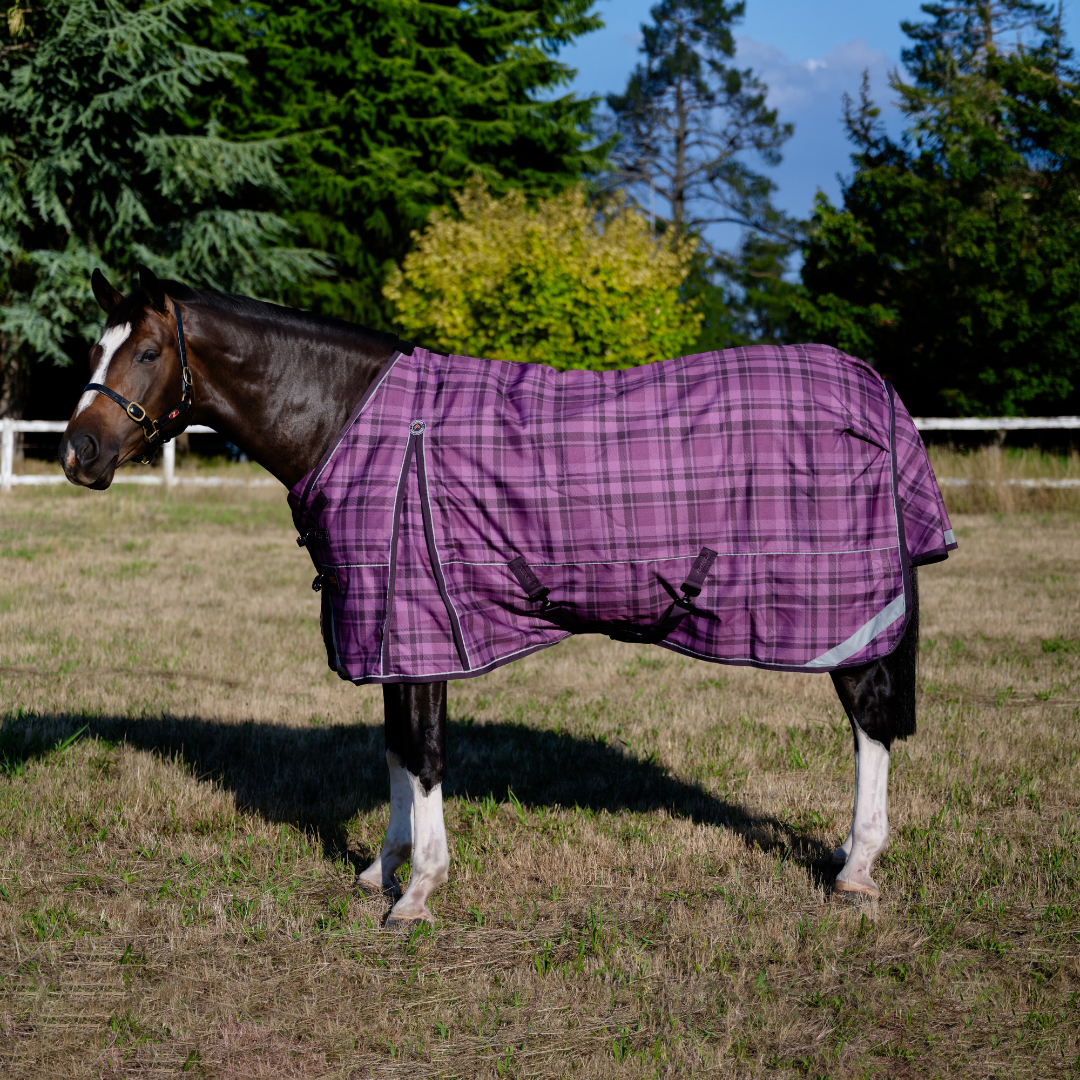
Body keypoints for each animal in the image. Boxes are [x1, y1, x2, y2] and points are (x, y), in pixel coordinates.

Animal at [60, 265, 947, 924]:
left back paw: (856, 868)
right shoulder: (391, 627)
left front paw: (419, 889)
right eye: (96, 348)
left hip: (842, 614)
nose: (78, 452)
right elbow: (394, 749)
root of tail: (875, 392)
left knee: (870, 723)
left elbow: (423, 755)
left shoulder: (418, 619)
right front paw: (382, 868)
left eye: (146, 352)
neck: (356, 424)